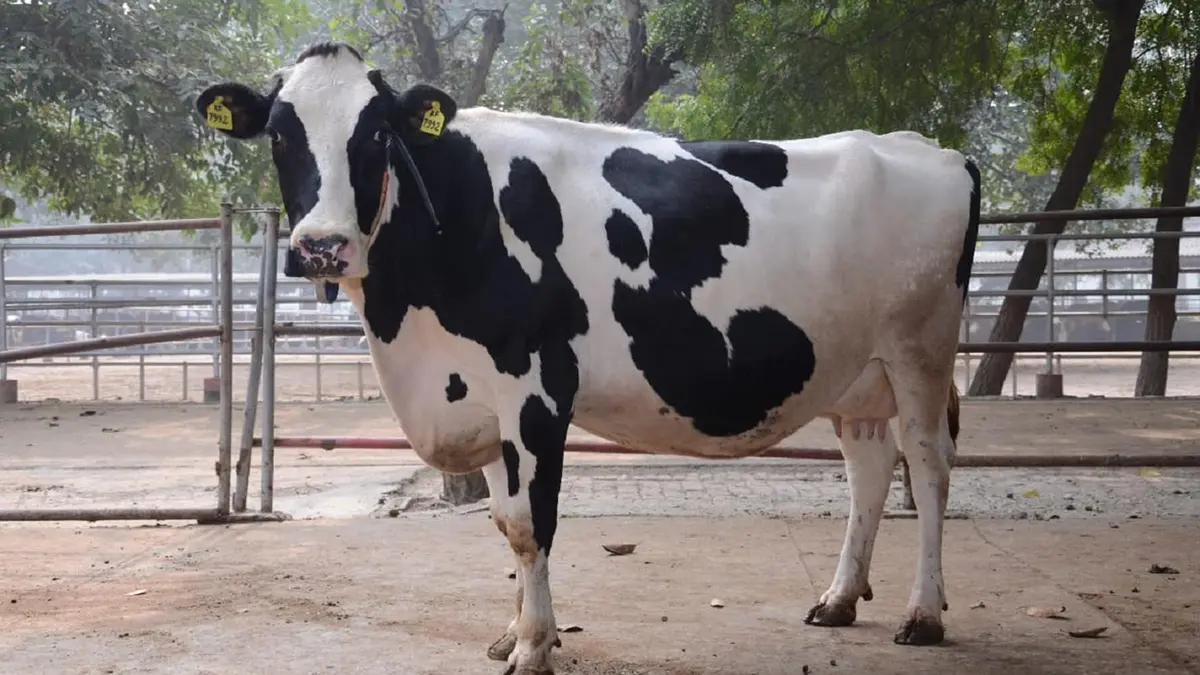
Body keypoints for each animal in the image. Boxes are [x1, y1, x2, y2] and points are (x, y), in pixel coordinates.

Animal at [196, 41, 980, 674]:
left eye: (378, 132)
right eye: (280, 133)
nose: (321, 246)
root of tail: (932, 149)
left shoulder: (535, 388)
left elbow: (529, 523)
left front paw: (535, 646)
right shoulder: (480, 399)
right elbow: (503, 519)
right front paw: (513, 633)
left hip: (919, 349)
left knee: (929, 465)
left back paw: (924, 613)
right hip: (856, 372)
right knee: (870, 469)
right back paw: (840, 599)